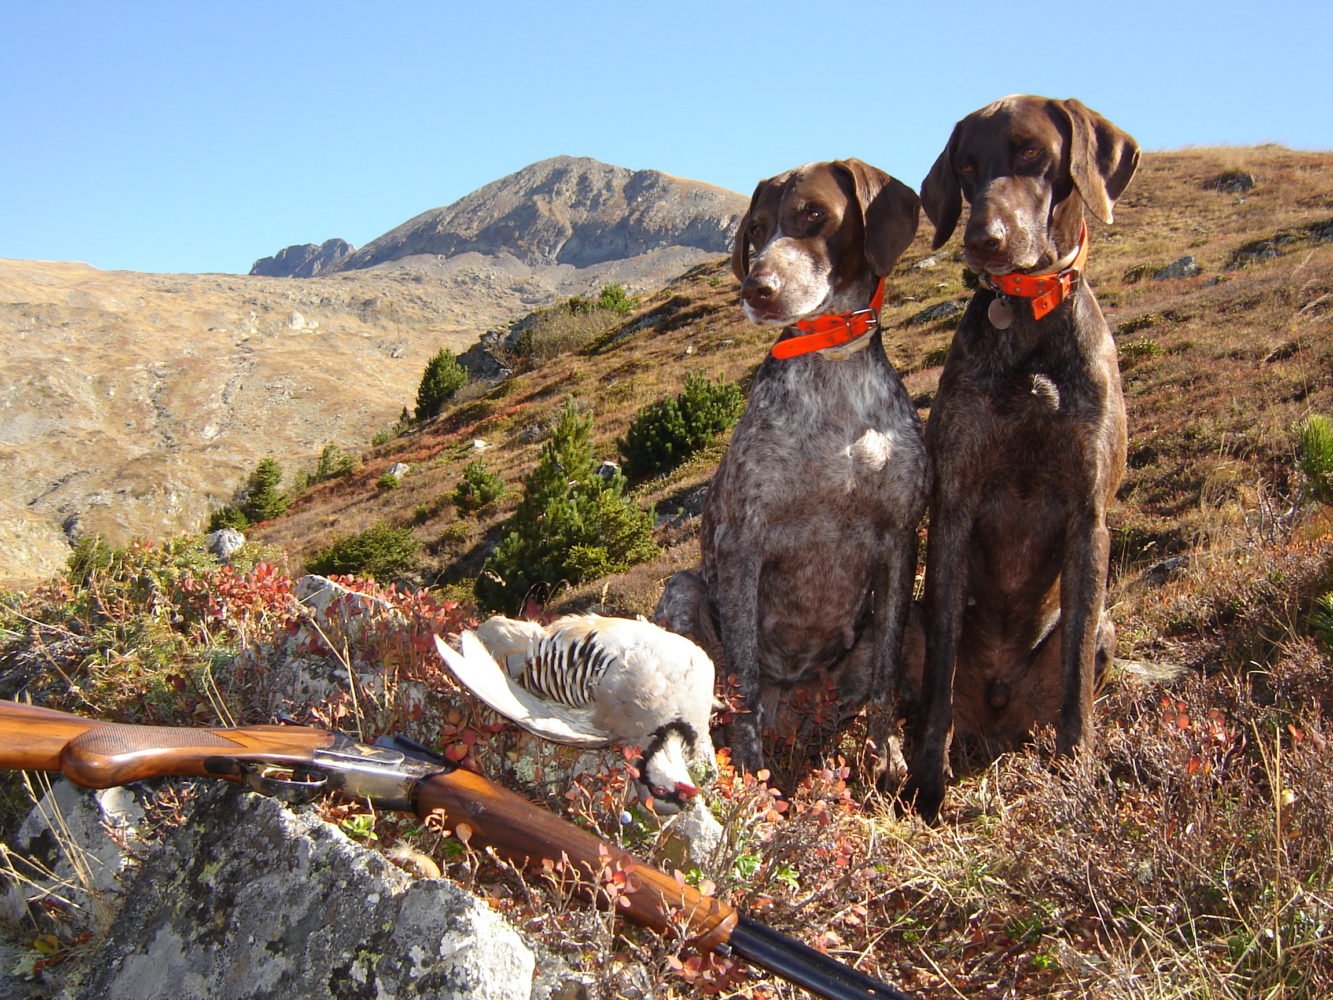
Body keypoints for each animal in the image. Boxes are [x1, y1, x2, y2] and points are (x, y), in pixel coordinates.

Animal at [655, 158, 927, 784]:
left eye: (813, 215)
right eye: (755, 230)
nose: (756, 289)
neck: (833, 377)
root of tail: (794, 702)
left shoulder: (902, 539)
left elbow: (884, 683)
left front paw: (888, 757)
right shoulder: (743, 545)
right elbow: (745, 690)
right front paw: (752, 784)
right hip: (682, 592)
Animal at [911, 96, 1141, 821]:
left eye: (1033, 151)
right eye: (965, 165)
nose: (983, 238)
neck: (1029, 324)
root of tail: (996, 712)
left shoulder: (1088, 517)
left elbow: (1074, 683)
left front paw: (1076, 775)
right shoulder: (953, 509)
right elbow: (938, 681)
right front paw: (925, 786)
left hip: (1105, 630)